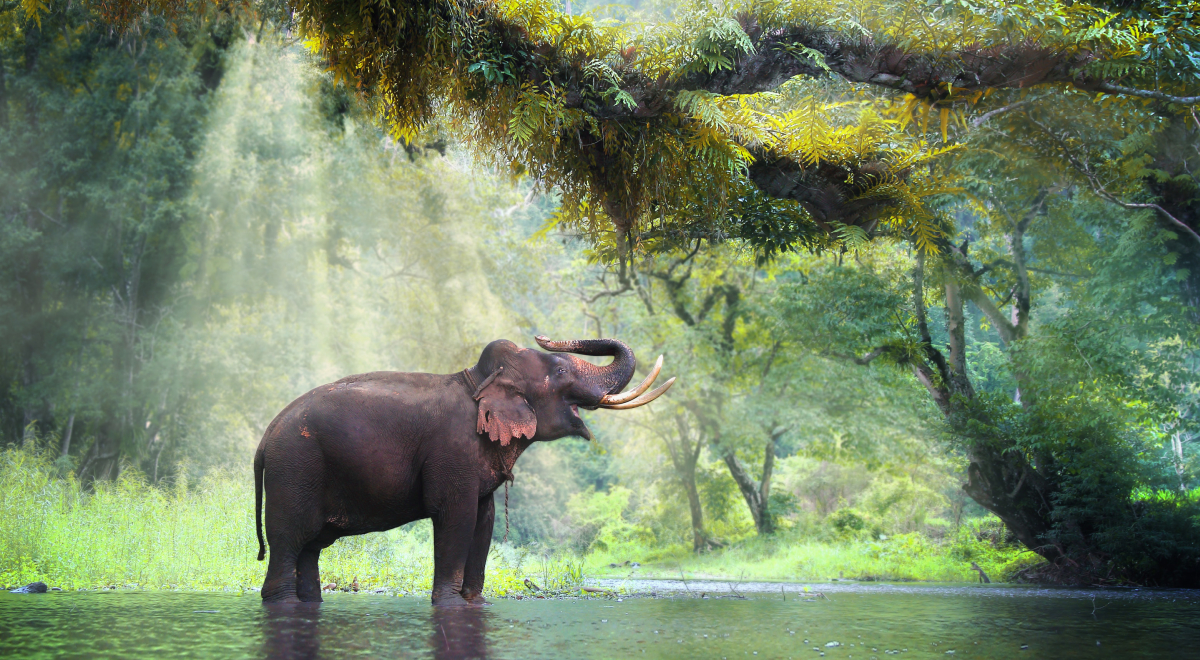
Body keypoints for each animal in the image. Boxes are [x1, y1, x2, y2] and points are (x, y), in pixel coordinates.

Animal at [250, 338, 676, 607]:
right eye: (557, 370)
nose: (544, 335)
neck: (477, 379)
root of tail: (265, 438)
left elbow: (484, 520)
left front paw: (476, 602)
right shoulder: (452, 452)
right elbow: (455, 515)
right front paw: (449, 604)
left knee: (311, 548)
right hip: (295, 470)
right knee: (290, 540)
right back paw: (283, 602)